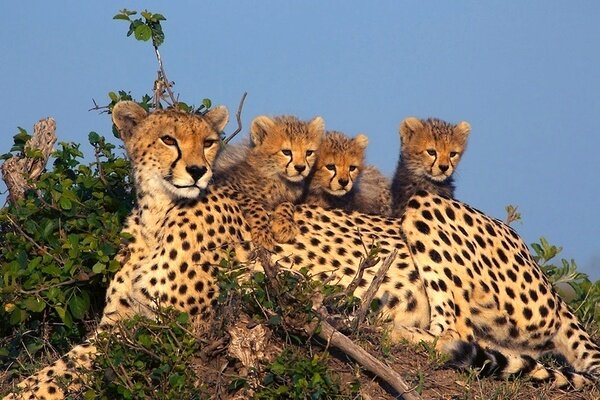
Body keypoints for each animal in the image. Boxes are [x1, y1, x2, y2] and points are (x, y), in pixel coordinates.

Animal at [5, 104, 600, 398]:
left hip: (427, 209)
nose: (197, 169)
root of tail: (548, 282)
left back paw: (368, 326)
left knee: (455, 333)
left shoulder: (174, 328)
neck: (157, 213)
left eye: (209, 142)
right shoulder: (118, 322)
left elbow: (71, 372)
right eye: (169, 139)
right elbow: (57, 367)